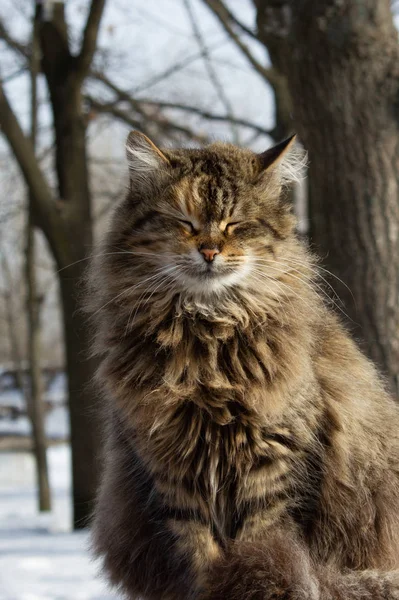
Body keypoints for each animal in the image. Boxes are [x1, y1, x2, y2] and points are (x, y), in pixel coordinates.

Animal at [89, 132, 399, 600]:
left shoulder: (276, 469)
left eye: (235, 224)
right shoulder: (172, 475)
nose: (209, 250)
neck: (208, 342)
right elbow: (201, 554)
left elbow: (261, 546)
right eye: (184, 221)